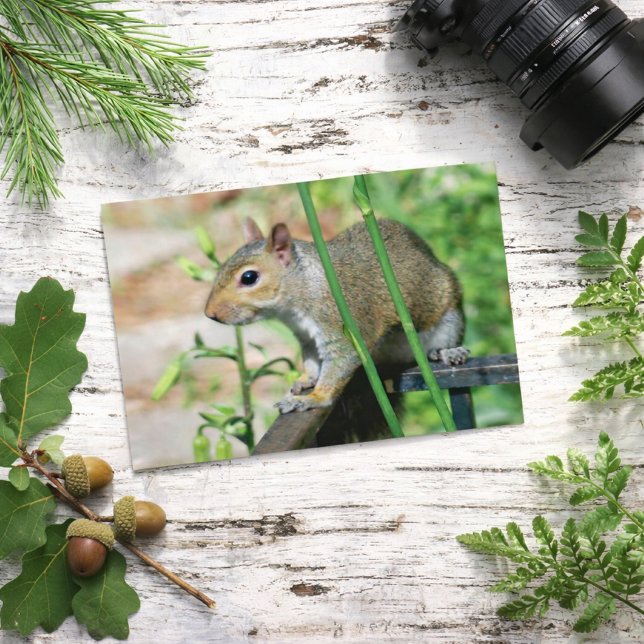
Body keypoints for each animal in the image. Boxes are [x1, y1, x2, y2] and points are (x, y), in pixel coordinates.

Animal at [205, 217, 468, 417]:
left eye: (249, 277)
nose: (210, 314)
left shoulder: (343, 322)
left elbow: (342, 359)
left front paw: (313, 398)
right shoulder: (306, 337)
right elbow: (312, 360)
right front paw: (305, 379)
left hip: (449, 318)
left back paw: (449, 352)